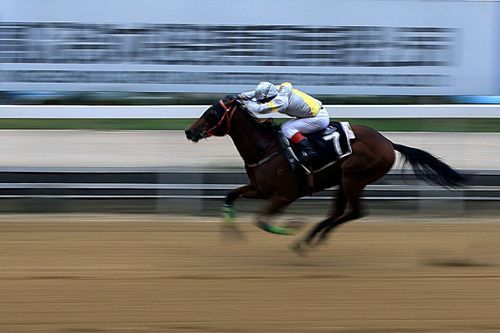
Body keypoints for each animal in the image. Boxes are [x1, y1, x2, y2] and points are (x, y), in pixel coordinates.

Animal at [186, 96, 466, 252]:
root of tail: (388, 142)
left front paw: (291, 227)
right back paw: (310, 239)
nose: (189, 131)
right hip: (344, 180)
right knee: (339, 212)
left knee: (355, 212)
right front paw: (231, 232)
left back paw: (306, 238)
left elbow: (261, 220)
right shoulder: (260, 189)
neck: (266, 149)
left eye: (211, 113)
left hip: (354, 178)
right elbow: (230, 196)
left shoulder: (285, 195)